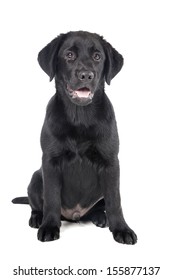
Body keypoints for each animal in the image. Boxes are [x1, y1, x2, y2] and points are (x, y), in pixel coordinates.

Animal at [12, 30, 137, 244]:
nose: (86, 75)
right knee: (36, 205)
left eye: (97, 57)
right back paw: (37, 218)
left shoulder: (111, 163)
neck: (80, 117)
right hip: (36, 178)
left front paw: (121, 229)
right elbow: (51, 198)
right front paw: (49, 226)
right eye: (69, 55)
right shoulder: (50, 162)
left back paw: (100, 217)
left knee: (101, 206)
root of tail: (75, 215)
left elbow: (115, 201)